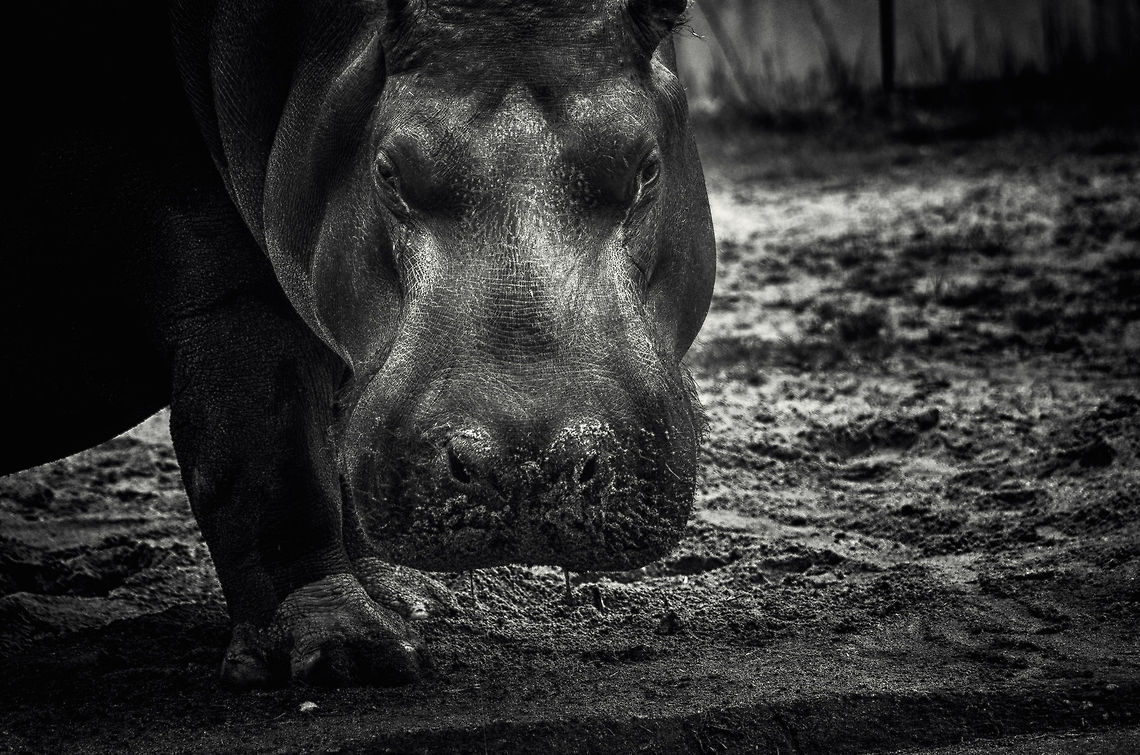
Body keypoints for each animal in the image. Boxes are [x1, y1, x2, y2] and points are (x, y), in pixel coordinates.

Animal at [2, 0, 715, 686]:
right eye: (389, 171)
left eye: (646, 167)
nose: (527, 468)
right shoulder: (232, 294)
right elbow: (271, 464)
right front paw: (349, 654)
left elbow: (341, 450)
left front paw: (415, 602)